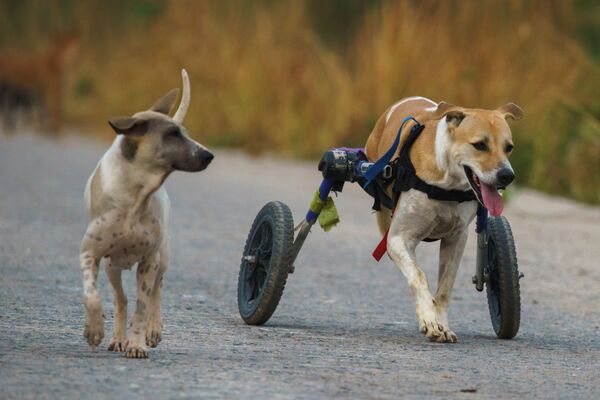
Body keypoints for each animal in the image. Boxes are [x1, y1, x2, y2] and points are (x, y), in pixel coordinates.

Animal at [78, 68, 212, 356]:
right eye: (172, 133)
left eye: (183, 132)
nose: (209, 155)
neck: (135, 196)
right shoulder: (89, 254)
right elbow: (92, 295)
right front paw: (94, 330)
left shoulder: (149, 260)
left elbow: (142, 306)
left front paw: (138, 343)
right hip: (112, 266)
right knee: (120, 299)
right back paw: (117, 338)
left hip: (163, 257)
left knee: (155, 293)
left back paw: (152, 329)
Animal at [364, 95, 524, 342]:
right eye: (480, 145)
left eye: (509, 148)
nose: (507, 175)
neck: (448, 184)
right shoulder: (399, 239)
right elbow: (418, 275)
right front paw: (429, 320)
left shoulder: (456, 239)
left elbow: (445, 287)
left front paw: (442, 324)